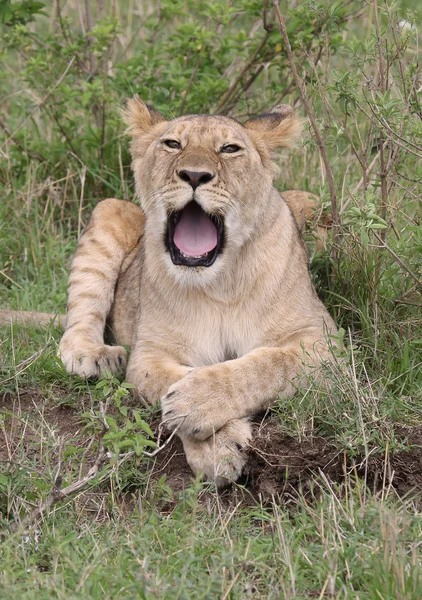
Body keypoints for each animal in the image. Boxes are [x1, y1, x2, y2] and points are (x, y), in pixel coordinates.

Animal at [0, 96, 336, 486]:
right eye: (173, 144)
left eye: (230, 149)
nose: (194, 175)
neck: (220, 282)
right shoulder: (150, 353)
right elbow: (166, 379)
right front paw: (216, 444)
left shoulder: (325, 343)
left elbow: (265, 365)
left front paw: (195, 402)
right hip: (110, 209)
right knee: (79, 323)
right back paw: (95, 356)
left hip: (313, 201)